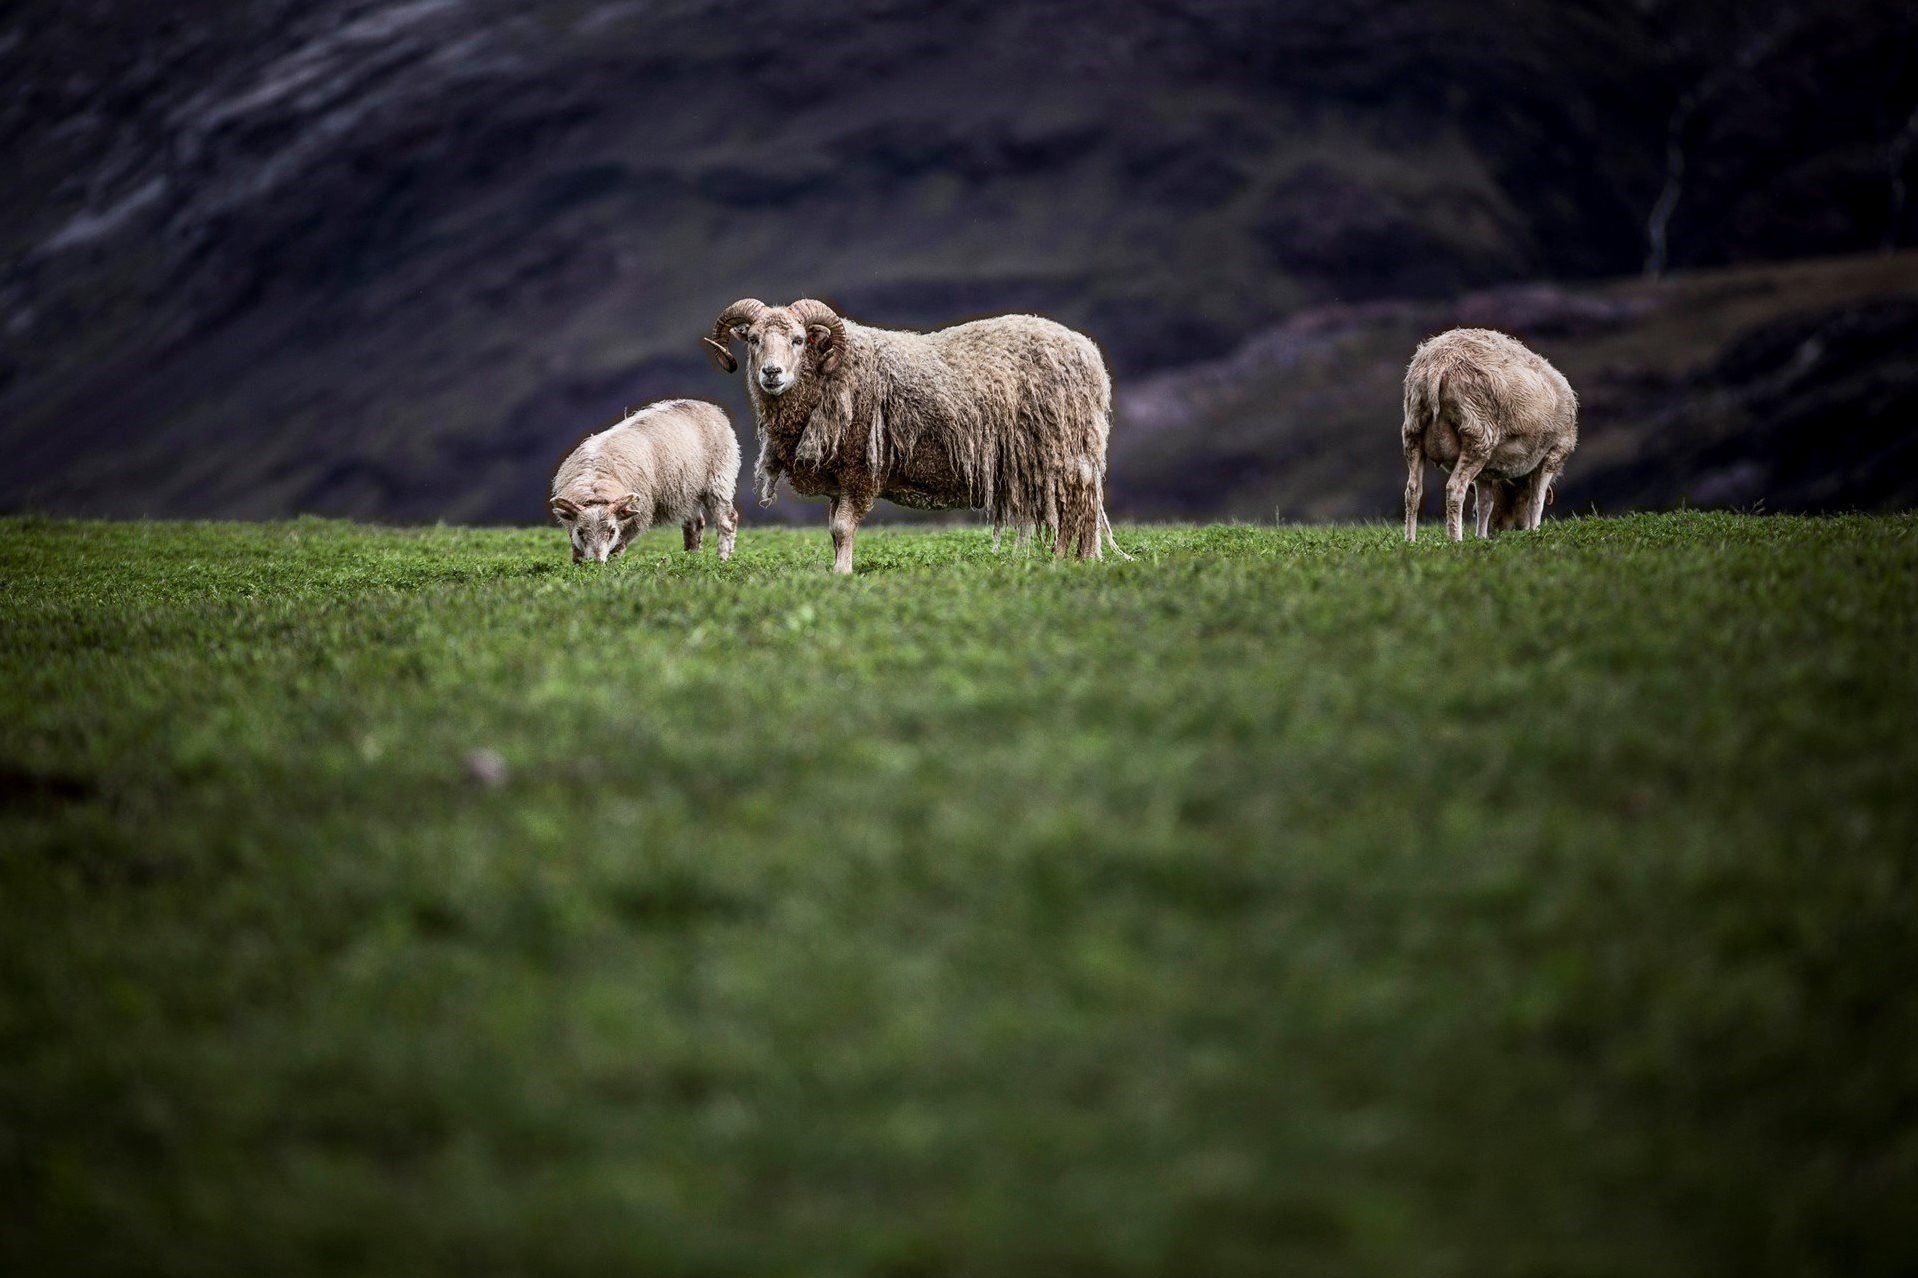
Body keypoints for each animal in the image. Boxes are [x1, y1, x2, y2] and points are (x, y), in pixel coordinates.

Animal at [556, 395, 740, 560]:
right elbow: (576, 549)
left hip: (719, 480)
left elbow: (618, 546)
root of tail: (710, 407)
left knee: (727, 520)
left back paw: (722, 558)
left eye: (612, 531)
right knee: (695, 525)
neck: (596, 483)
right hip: (688, 490)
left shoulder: (638, 515)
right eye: (580, 531)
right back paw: (691, 558)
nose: (596, 563)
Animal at [705, 295, 1120, 568]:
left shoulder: (860, 469)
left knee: (1074, 512)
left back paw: (1067, 561)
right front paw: (838, 568)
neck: (832, 371)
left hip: (1065, 454)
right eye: (754, 339)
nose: (771, 373)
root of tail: (1089, 351)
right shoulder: (839, 478)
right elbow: (834, 532)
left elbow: (842, 528)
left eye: (798, 340)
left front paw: (842, 574)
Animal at [1403, 326, 1580, 541]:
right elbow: (1536, 500)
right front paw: (1535, 530)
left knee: (1413, 490)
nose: (1506, 530)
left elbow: (1485, 504)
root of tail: (1439, 363)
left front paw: (1481, 537)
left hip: (1413, 430)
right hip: (1478, 433)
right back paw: (1456, 540)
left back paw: (1410, 540)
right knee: (1455, 489)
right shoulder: (1554, 452)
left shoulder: (1487, 472)